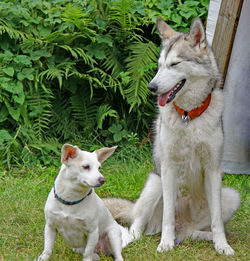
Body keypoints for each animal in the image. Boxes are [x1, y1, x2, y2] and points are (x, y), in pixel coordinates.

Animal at [104, 16, 240, 254]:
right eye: (159, 66)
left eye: (174, 64)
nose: (151, 87)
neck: (188, 116)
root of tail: (183, 225)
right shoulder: (168, 168)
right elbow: (168, 214)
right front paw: (165, 243)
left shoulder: (213, 170)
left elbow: (216, 221)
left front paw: (222, 245)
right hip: (154, 184)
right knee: (137, 224)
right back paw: (135, 237)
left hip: (231, 196)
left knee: (193, 232)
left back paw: (205, 237)